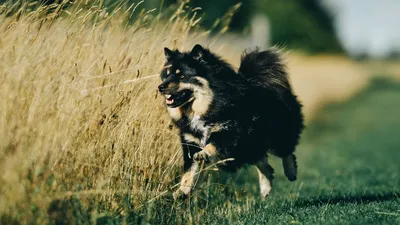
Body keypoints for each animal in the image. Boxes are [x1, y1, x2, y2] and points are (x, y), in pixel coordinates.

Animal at [158, 44, 304, 199]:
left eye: (181, 75)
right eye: (166, 75)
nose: (160, 87)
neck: (208, 105)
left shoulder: (228, 133)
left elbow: (212, 146)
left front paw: (204, 154)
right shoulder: (191, 143)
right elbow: (190, 172)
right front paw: (182, 191)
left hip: (274, 135)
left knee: (286, 151)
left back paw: (291, 172)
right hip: (251, 146)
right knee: (265, 164)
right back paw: (265, 188)